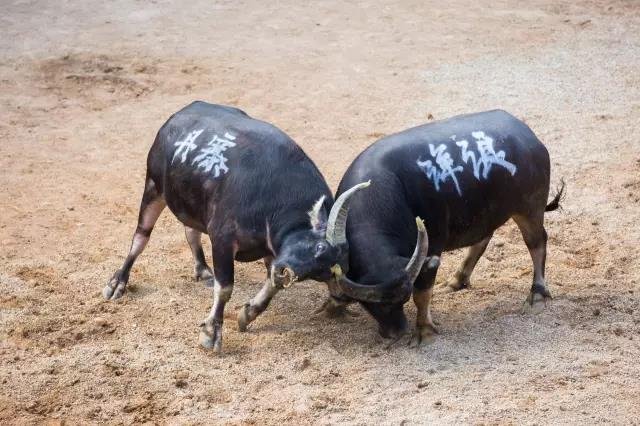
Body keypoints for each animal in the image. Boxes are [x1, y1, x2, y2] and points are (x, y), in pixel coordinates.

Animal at [324, 109, 564, 342]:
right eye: (368, 305)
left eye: (402, 299)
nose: (396, 332)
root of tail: (530, 137)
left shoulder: (432, 248)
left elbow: (422, 294)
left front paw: (425, 332)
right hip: (483, 212)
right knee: (483, 239)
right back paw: (457, 280)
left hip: (530, 208)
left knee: (536, 242)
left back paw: (537, 295)